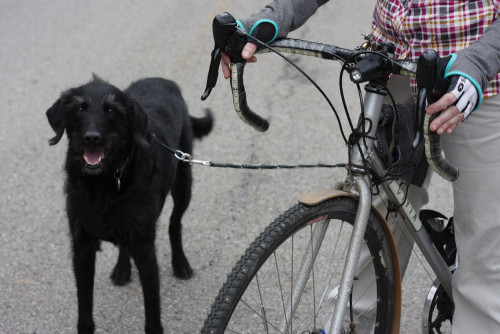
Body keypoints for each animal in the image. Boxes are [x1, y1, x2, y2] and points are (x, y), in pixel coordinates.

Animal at [45, 75, 213, 334]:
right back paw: (122, 269)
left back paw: (180, 263)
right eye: (79, 108)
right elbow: (84, 308)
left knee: (175, 223)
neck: (102, 184)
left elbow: (152, 312)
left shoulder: (145, 249)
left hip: (184, 181)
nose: (91, 138)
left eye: (111, 109)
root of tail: (163, 80)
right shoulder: (82, 248)